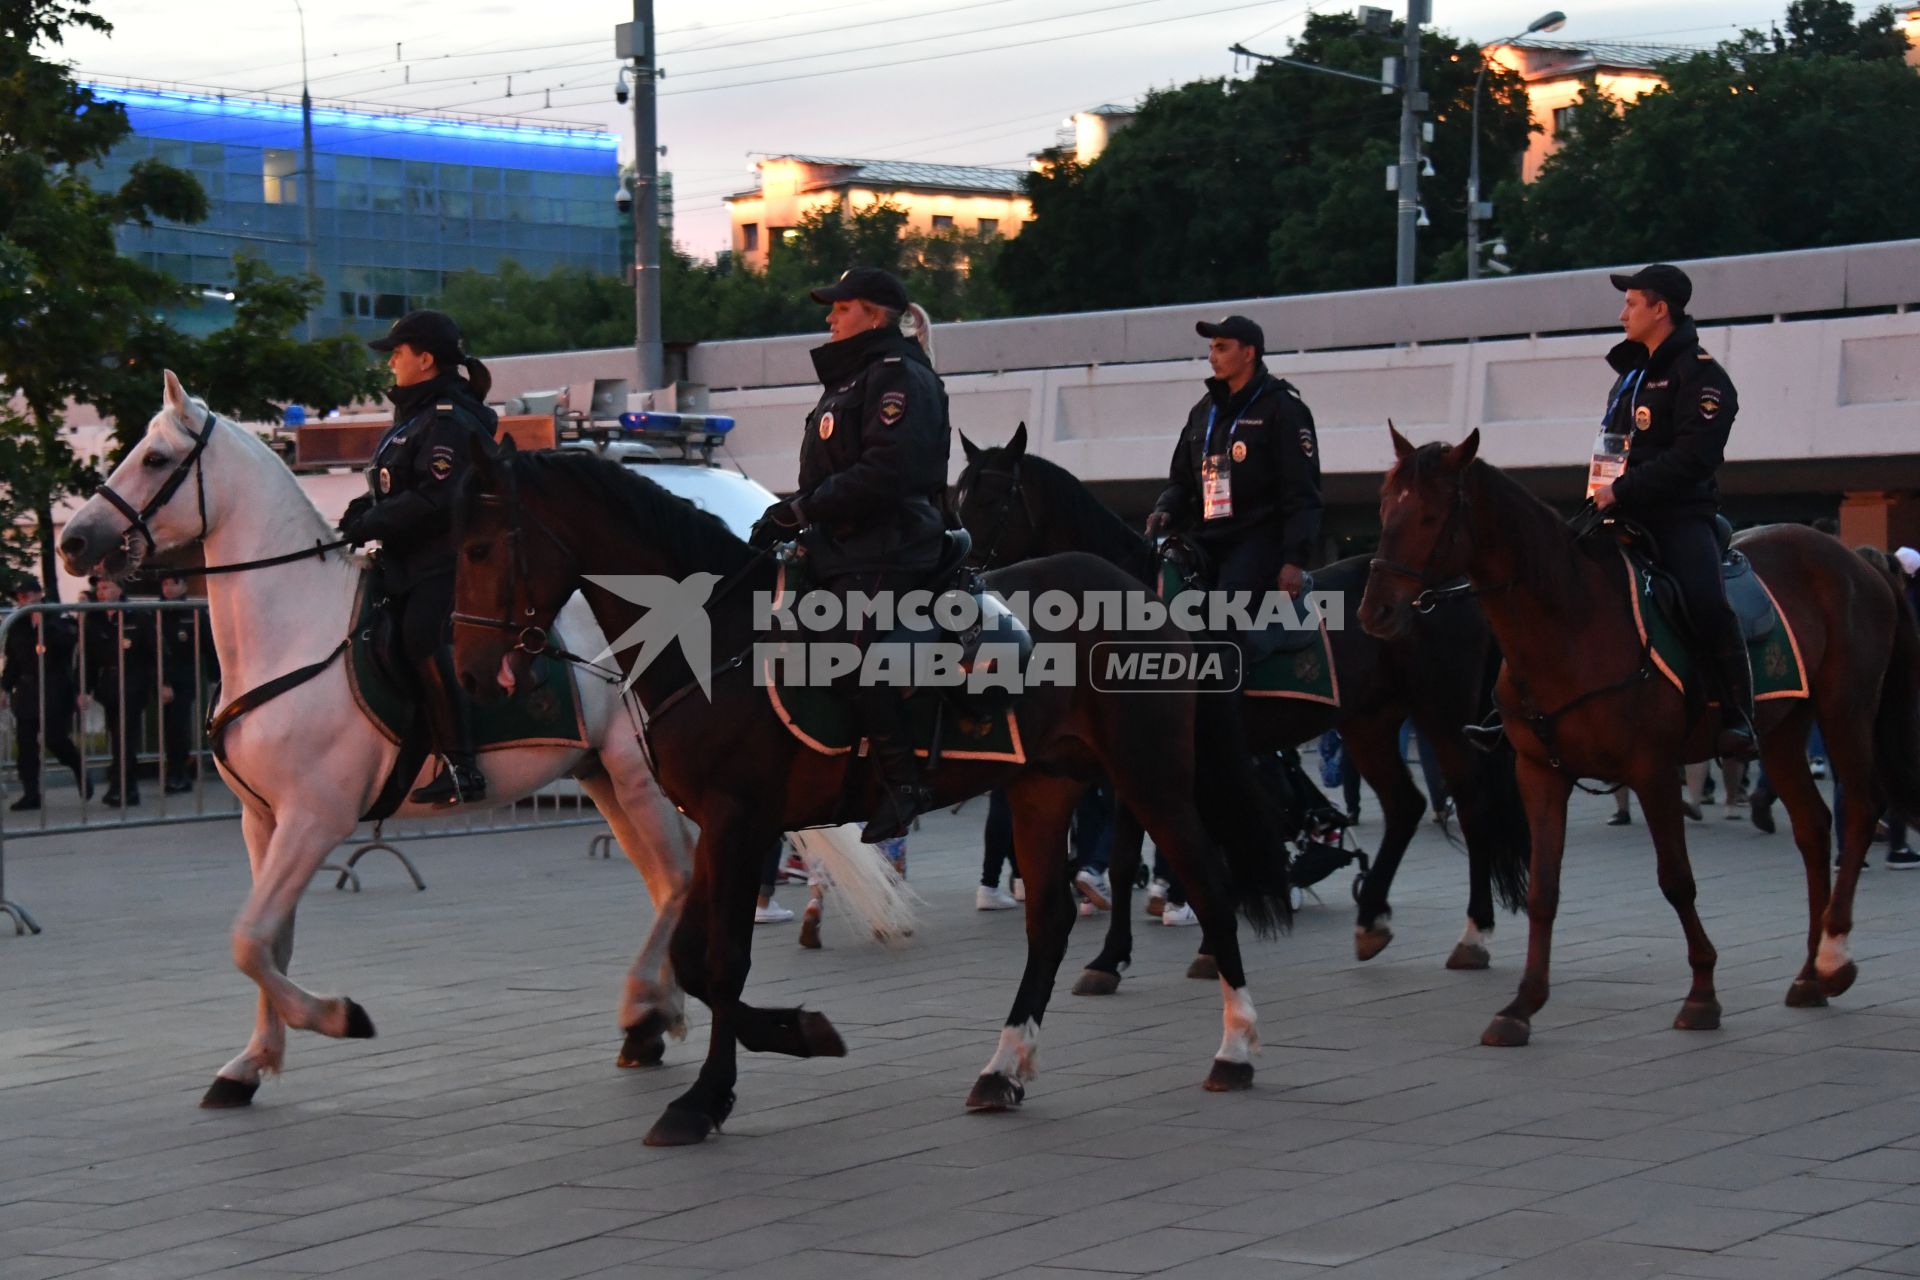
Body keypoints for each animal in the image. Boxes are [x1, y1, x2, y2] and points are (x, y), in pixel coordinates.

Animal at [60, 370, 913, 1113]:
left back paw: (645, 1012)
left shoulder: (315, 817)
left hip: (640, 777)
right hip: (603, 775)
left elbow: (250, 939)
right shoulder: (261, 821)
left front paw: (337, 1017)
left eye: (156, 459)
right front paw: (251, 1064)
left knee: (673, 878)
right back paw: (650, 1018)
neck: (294, 629)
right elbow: (272, 942)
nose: (73, 541)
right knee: (667, 880)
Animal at [449, 445, 1290, 1143]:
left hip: (1152, 778)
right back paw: (1003, 1067)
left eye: (479, 547)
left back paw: (1236, 1047)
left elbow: (722, 962)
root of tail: (1146, 593)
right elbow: (693, 959)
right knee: (1049, 921)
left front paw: (708, 1096)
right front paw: (787, 1034)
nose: (468, 672)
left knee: (1209, 887)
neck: (714, 639)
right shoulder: (720, 824)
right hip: (1042, 786)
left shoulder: (741, 819)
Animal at [960, 422, 1528, 982]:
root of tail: (1455, 587)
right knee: (1405, 805)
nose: (963, 586)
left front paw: (1199, 943)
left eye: (988, 499)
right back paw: (1371, 920)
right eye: (958, 497)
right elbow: (1126, 861)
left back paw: (1474, 933)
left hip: (1443, 715)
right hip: (1368, 722)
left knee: (1473, 807)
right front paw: (1113, 957)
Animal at [1351, 429, 1920, 1051]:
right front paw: (1523, 1005)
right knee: (1814, 829)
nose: (1375, 611)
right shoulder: (1539, 772)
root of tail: (1858, 559)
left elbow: (1677, 880)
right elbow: (1543, 890)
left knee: (1860, 810)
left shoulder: (1651, 770)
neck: (1570, 621)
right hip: (1783, 730)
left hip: (1844, 711)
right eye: (1384, 510)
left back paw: (1835, 956)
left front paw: (1702, 994)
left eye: (1430, 515)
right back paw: (1809, 974)